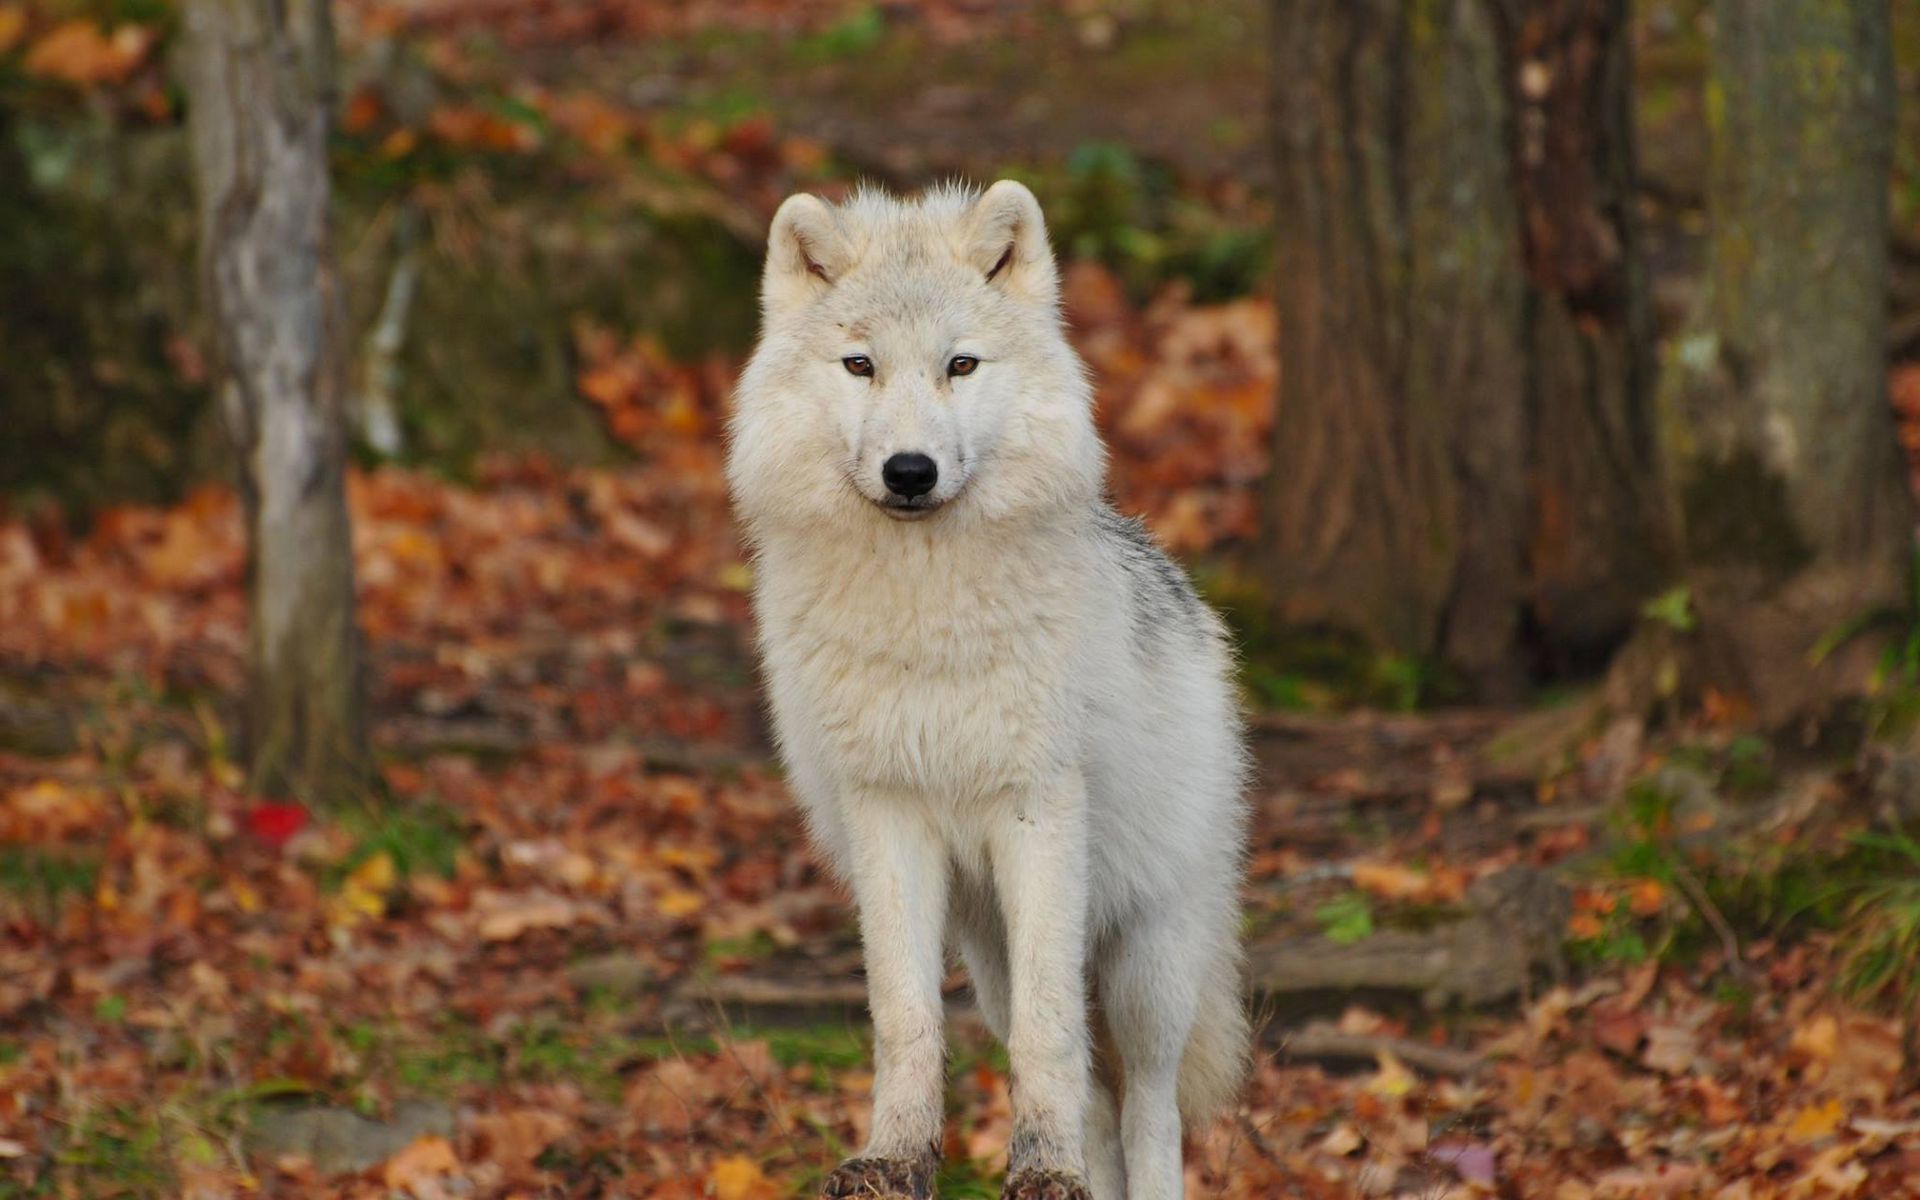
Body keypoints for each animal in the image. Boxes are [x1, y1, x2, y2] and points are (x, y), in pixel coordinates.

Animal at [725, 180, 1251, 1198]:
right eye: (860, 365)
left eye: (960, 365)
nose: (910, 472)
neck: (926, 620)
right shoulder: (887, 812)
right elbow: (905, 1018)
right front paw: (893, 1156)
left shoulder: (1036, 811)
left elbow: (1051, 1039)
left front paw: (1039, 1166)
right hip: (989, 953)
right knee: (1096, 1099)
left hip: (1146, 962)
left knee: (1149, 1106)